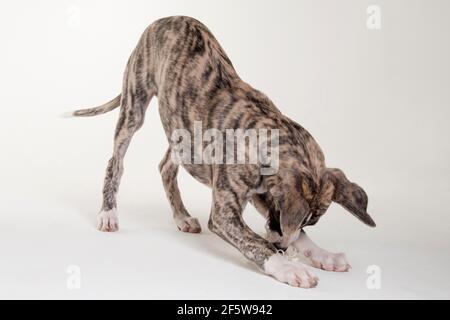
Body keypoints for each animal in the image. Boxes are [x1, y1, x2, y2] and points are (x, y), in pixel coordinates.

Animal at [72, 16, 374, 288]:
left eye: (311, 222)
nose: (283, 248)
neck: (267, 133)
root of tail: (165, 19)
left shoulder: (260, 195)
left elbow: (293, 234)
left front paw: (323, 255)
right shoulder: (225, 214)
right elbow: (256, 242)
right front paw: (288, 267)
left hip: (182, 132)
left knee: (166, 167)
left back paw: (181, 216)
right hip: (134, 105)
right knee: (116, 162)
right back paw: (108, 213)